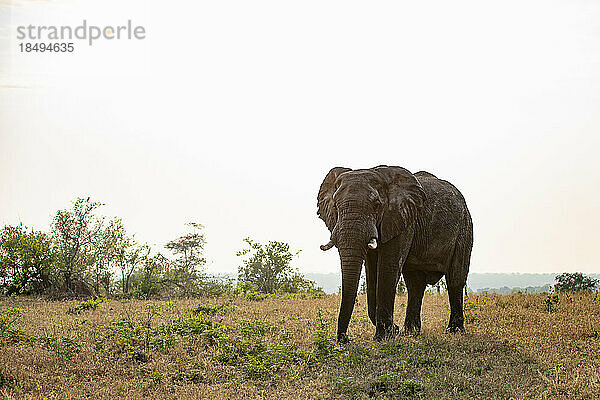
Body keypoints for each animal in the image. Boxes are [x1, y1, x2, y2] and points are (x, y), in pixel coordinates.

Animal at [318, 164, 474, 342]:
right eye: (335, 206)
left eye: (376, 205)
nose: (346, 339)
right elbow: (372, 271)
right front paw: (393, 331)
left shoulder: (402, 218)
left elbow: (387, 267)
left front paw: (384, 337)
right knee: (415, 284)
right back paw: (411, 332)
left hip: (465, 228)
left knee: (455, 279)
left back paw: (454, 331)